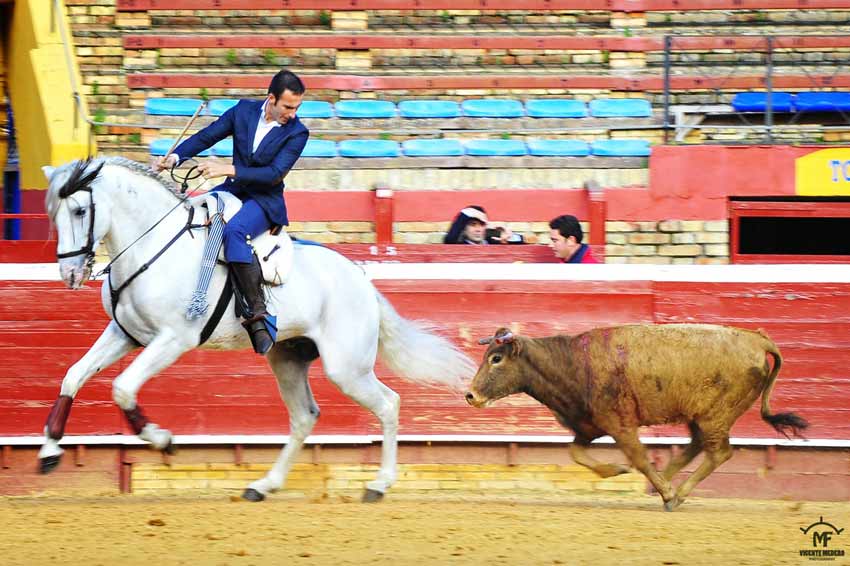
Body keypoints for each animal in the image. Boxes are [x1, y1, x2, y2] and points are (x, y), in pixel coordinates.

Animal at [39, 158, 474, 504]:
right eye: (53, 212)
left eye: (79, 210)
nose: (70, 274)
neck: (155, 246)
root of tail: (362, 278)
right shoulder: (124, 333)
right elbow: (73, 374)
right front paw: (48, 452)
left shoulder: (174, 339)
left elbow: (123, 387)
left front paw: (161, 439)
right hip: (288, 359)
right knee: (304, 417)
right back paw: (264, 485)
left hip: (347, 369)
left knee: (388, 404)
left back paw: (378, 485)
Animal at [468, 324, 804, 516]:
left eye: (496, 359)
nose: (470, 396)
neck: (573, 362)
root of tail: (757, 340)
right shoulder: (589, 424)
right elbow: (576, 453)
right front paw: (617, 470)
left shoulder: (621, 425)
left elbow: (639, 457)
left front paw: (655, 484)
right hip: (701, 417)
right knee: (697, 446)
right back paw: (665, 481)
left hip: (714, 416)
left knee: (718, 452)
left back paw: (674, 493)